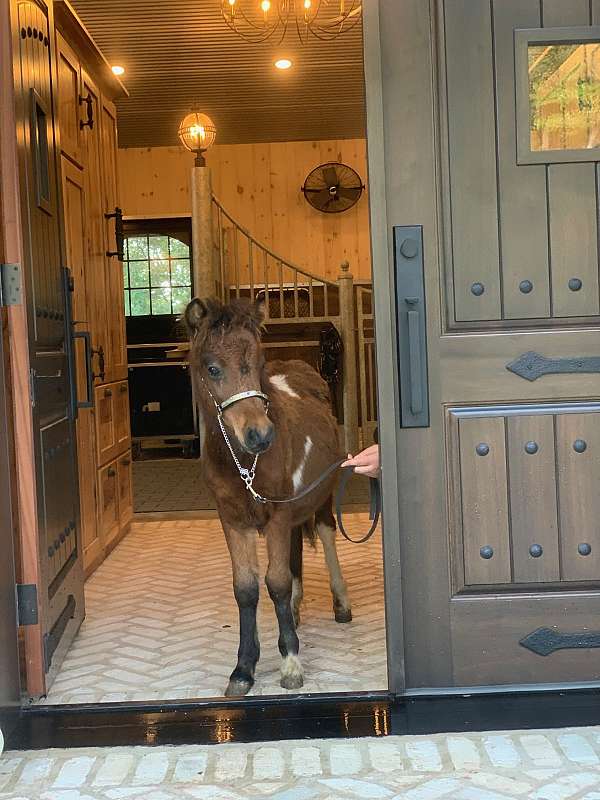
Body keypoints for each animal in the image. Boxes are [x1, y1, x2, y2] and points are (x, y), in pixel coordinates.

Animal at [185, 296, 352, 696]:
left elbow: (276, 582)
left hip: (321, 497)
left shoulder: (277, 514)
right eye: (212, 368)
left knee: (325, 534)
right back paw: (296, 608)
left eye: (258, 364)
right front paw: (244, 668)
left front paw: (290, 662)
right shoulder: (233, 520)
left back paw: (341, 603)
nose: (260, 435)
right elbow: (246, 588)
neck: (244, 463)